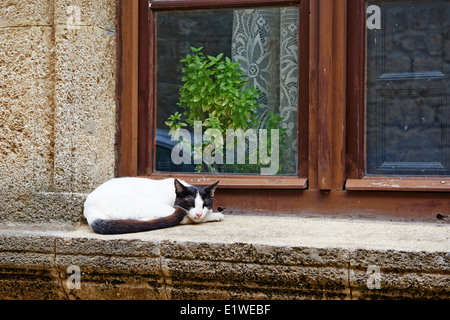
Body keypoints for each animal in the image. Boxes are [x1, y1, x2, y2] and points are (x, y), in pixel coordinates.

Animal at [83, 178, 223, 235]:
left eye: (205, 204)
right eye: (190, 203)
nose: (199, 213)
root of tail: (89, 211)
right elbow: (190, 219)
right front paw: (215, 214)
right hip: (146, 203)